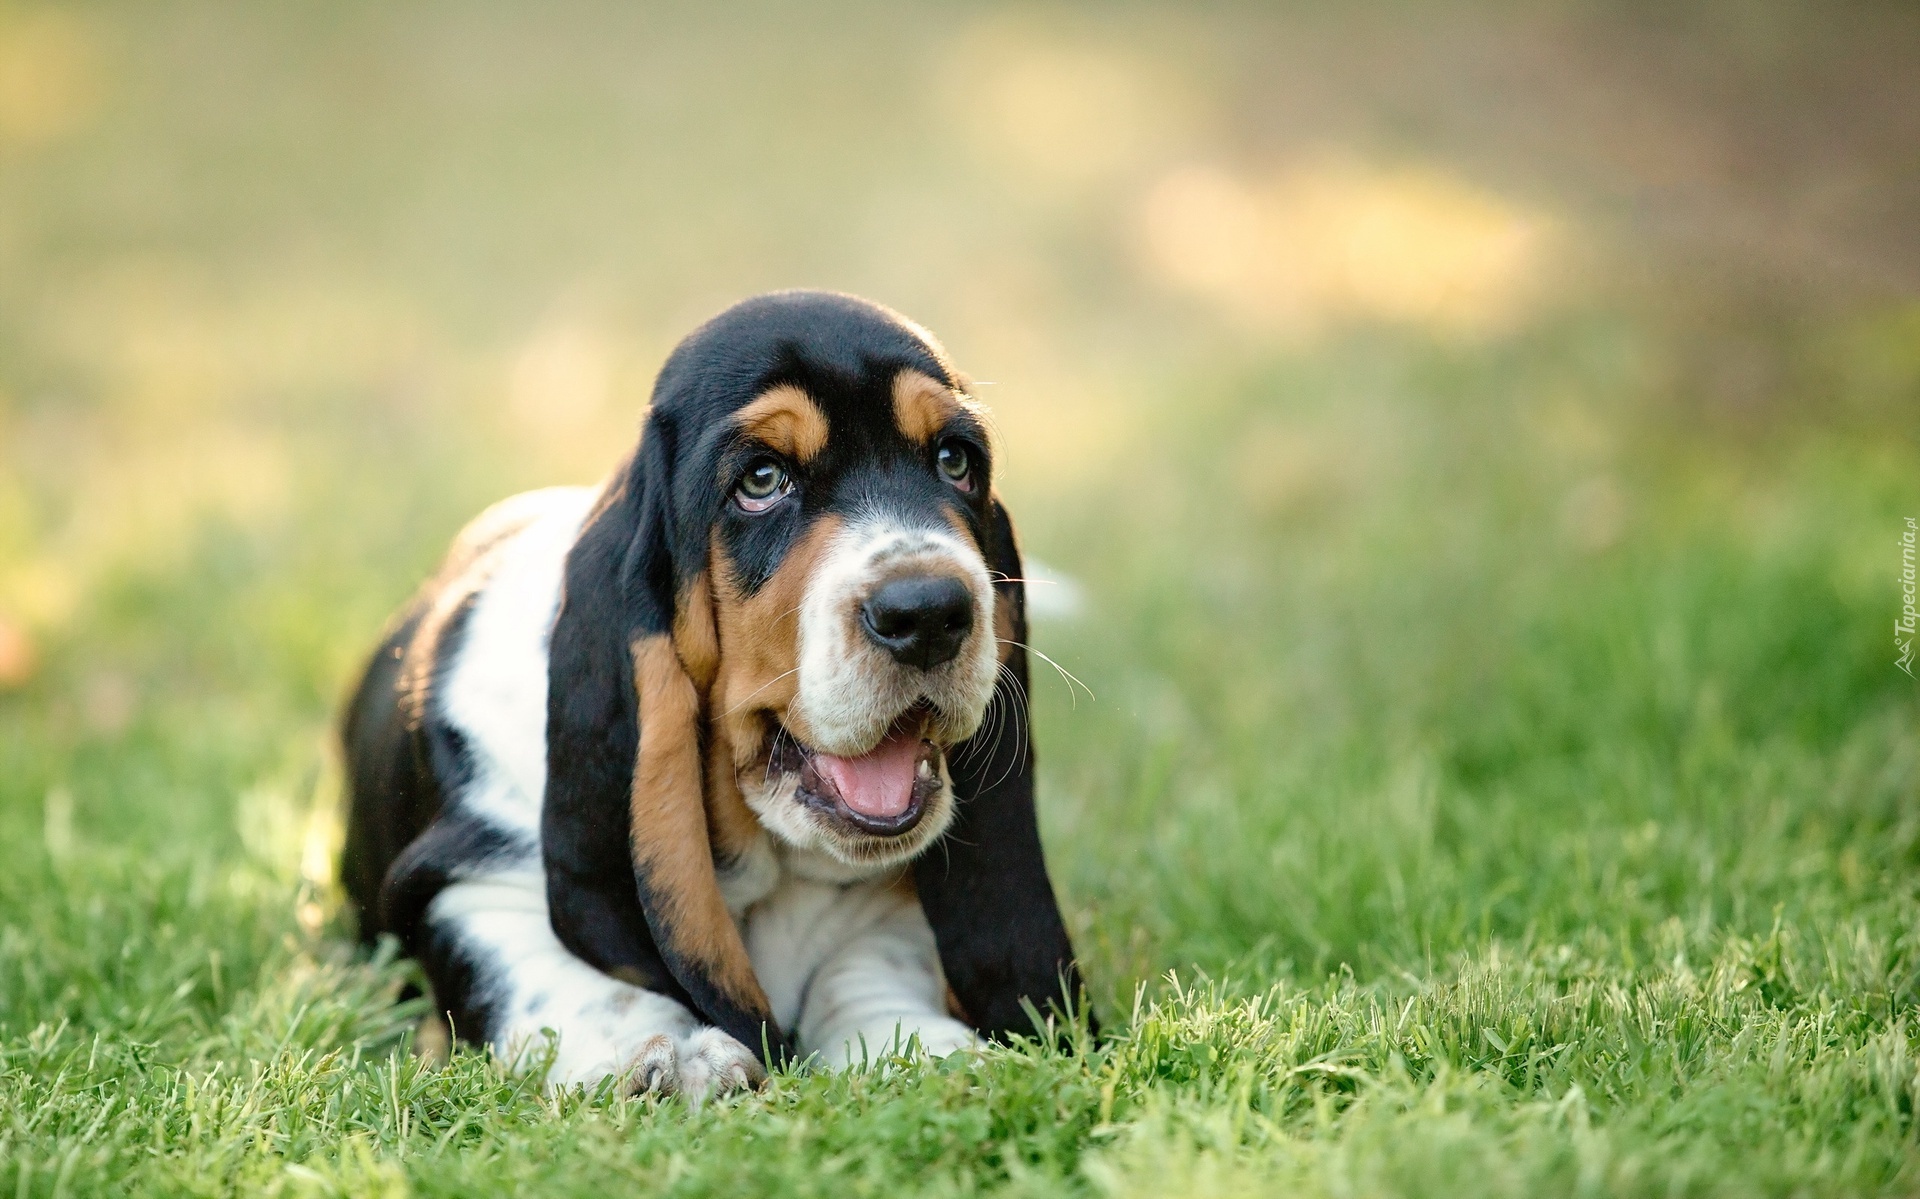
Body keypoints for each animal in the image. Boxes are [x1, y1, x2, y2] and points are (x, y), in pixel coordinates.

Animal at [341, 288, 1098, 1099]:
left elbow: (866, 965)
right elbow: (568, 978)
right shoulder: (468, 883)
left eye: (955, 461)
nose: (928, 612)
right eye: (761, 481)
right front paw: (665, 1052)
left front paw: (921, 1046)